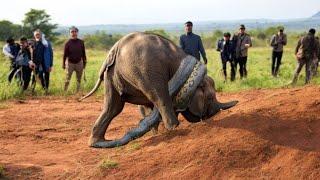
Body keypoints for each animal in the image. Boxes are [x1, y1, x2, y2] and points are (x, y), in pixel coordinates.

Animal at [80, 32, 238, 148]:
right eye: (209, 98)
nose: (209, 116)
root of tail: (115, 49)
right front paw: (165, 130)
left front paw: (155, 132)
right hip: (143, 69)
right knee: (158, 95)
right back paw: (174, 128)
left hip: (112, 74)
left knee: (113, 107)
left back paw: (99, 143)